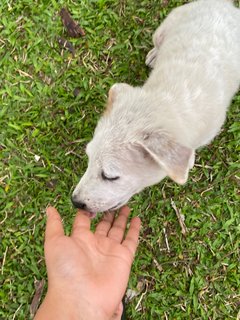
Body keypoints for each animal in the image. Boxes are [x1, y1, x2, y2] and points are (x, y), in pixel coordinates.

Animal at [71, 0, 240, 215]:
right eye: (89, 158)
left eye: (109, 176)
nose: (75, 202)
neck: (167, 97)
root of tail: (223, 4)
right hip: (164, 27)